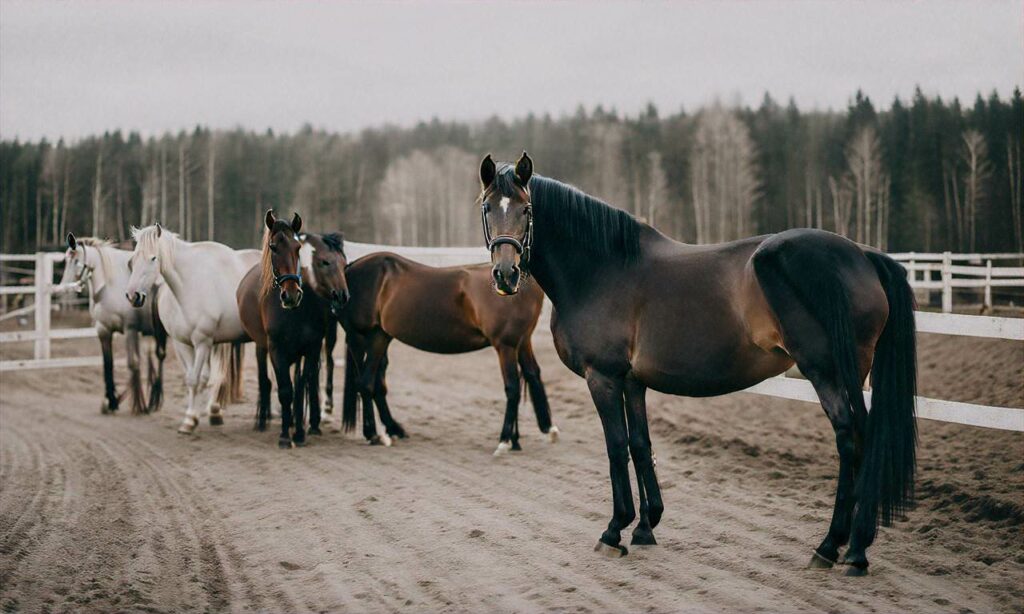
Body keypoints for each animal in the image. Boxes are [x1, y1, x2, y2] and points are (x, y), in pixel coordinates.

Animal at [57, 232, 166, 415]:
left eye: (76, 261)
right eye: (66, 260)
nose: (63, 288)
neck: (109, 288)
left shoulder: (130, 330)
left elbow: (133, 363)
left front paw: (137, 404)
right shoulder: (103, 330)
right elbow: (108, 363)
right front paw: (111, 401)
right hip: (151, 333)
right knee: (154, 358)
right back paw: (152, 399)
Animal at [124, 224, 260, 431]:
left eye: (153, 258)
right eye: (132, 260)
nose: (133, 296)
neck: (189, 286)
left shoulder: (203, 342)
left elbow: (198, 379)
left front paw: (190, 420)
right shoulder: (182, 344)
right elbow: (193, 379)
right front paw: (194, 417)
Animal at [236, 210, 352, 446]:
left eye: (297, 248)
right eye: (273, 247)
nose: (291, 295)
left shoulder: (309, 348)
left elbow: (301, 388)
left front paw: (298, 432)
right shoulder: (276, 349)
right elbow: (285, 391)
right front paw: (284, 436)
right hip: (262, 346)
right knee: (264, 380)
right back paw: (263, 421)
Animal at [339, 251, 557, 452]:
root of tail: (350, 269)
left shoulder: (523, 341)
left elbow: (532, 375)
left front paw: (541, 431)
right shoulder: (506, 345)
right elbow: (513, 388)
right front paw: (505, 440)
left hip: (381, 337)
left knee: (376, 384)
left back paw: (394, 430)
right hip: (363, 338)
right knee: (365, 383)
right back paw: (373, 434)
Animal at [475, 153, 917, 577]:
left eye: (527, 208)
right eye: (487, 208)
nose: (506, 274)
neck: (602, 268)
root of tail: (863, 255)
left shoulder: (603, 377)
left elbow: (616, 447)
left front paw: (614, 529)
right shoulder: (632, 381)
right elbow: (640, 444)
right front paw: (646, 526)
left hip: (828, 371)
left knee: (850, 438)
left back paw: (839, 547)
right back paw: (851, 547)